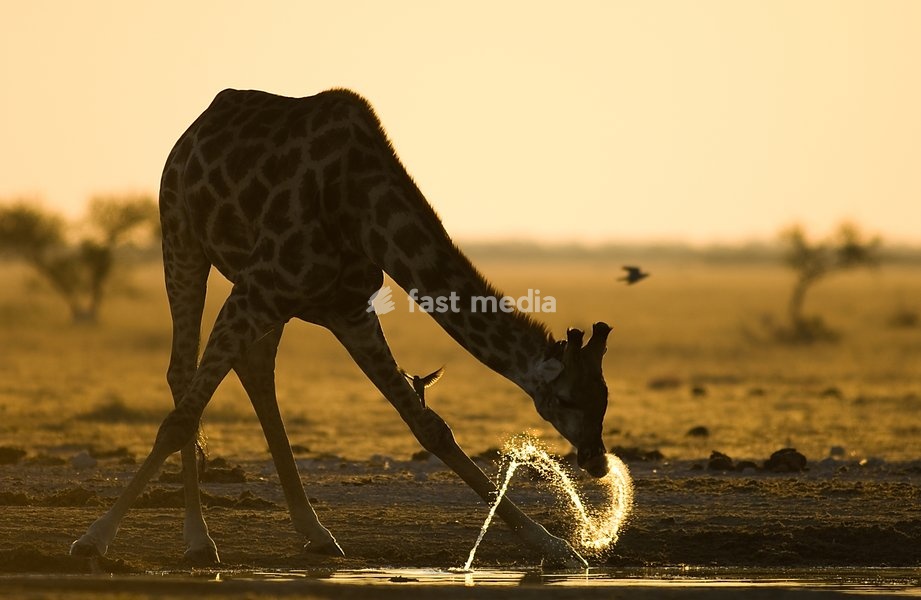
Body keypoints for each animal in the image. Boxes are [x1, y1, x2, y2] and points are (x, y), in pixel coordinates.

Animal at [70, 89, 613, 568]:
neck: (362, 211)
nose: (597, 460)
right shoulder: (259, 288)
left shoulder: (346, 309)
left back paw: (315, 533)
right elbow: (181, 419)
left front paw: (556, 548)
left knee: (254, 368)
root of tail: (194, 129)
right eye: (568, 399)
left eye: (603, 398)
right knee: (183, 373)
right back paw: (200, 541)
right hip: (181, 238)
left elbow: (429, 427)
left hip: (263, 294)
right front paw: (93, 540)